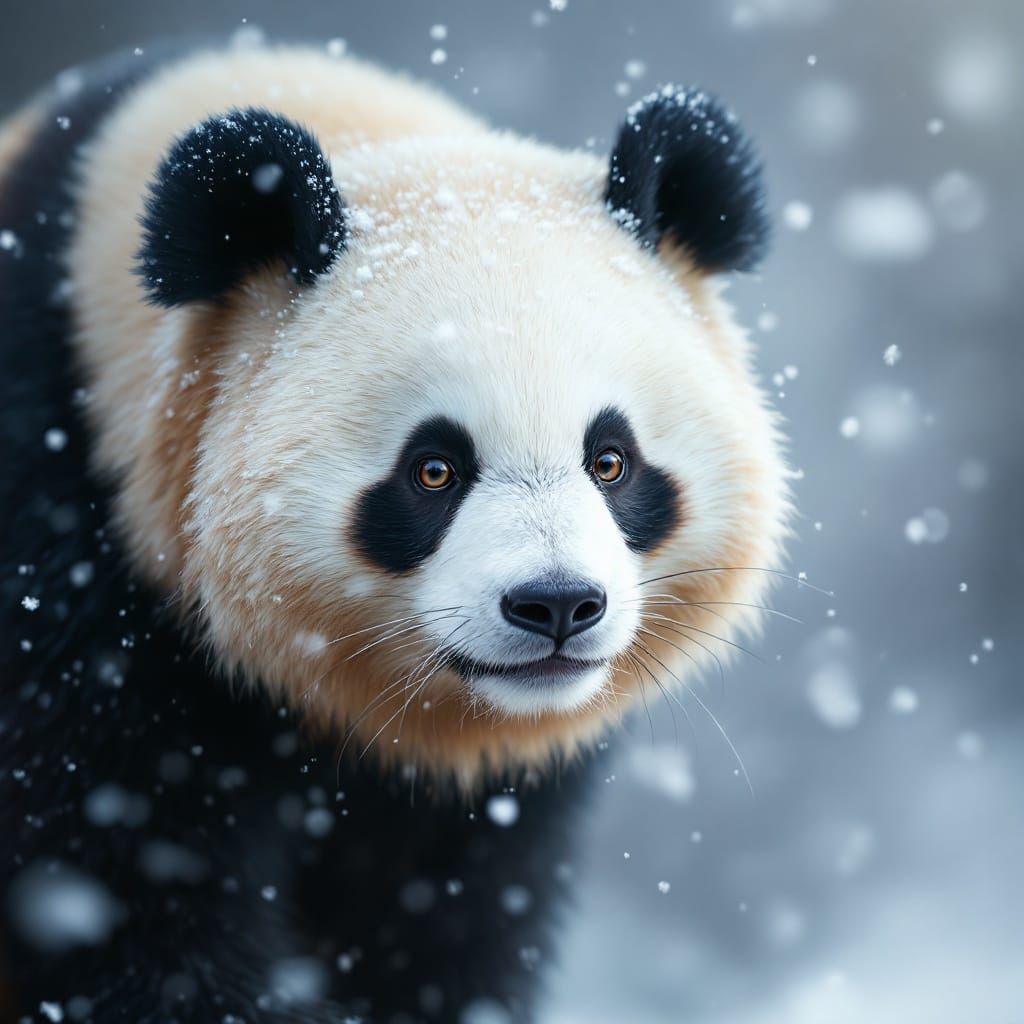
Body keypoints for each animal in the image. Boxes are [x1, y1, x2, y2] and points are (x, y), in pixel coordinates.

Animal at [0, 38, 787, 1024]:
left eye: (611, 460)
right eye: (433, 470)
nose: (556, 606)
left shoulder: (489, 805)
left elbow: (446, 922)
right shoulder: (61, 546)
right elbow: (118, 892)